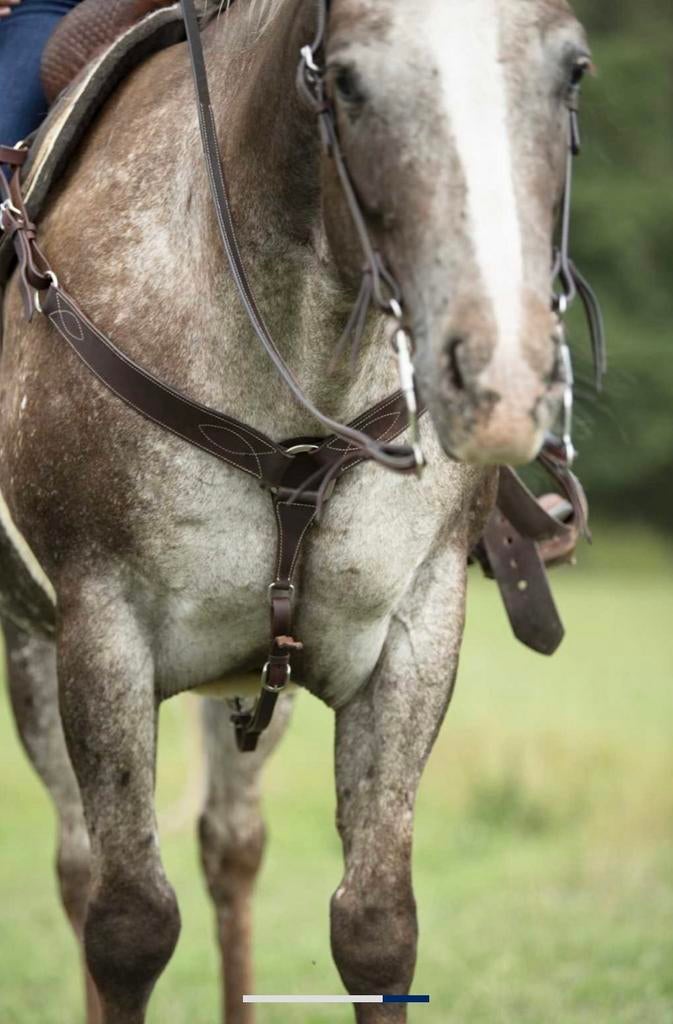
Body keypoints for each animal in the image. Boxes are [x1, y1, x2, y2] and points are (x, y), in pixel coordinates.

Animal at [0, 0, 593, 1021]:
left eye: (573, 70)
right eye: (346, 79)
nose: (500, 379)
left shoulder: (415, 629)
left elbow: (374, 924)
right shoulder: (101, 627)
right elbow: (128, 926)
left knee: (229, 845)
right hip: (34, 643)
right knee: (81, 872)